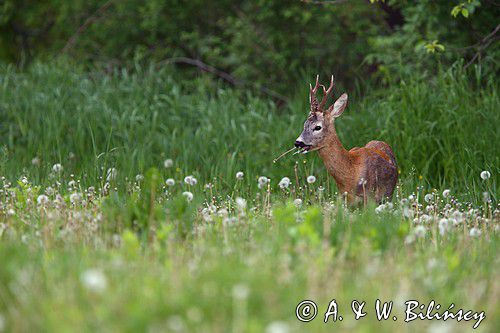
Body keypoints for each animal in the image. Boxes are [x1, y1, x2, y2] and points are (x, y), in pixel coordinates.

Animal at [292, 75, 398, 204]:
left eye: (317, 127)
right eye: (304, 124)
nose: (298, 142)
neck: (352, 171)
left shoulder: (368, 197)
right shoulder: (345, 198)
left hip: (388, 195)